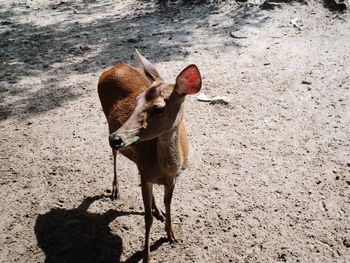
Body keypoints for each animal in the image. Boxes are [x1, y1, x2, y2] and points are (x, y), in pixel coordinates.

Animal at [98, 50, 202, 262]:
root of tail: (114, 67)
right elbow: (146, 219)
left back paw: (157, 210)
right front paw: (146, 256)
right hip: (108, 124)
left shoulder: (174, 177)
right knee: (114, 156)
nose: (116, 138)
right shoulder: (147, 175)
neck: (167, 168)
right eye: (136, 101)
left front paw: (172, 235)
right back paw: (115, 190)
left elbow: (169, 203)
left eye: (159, 108)